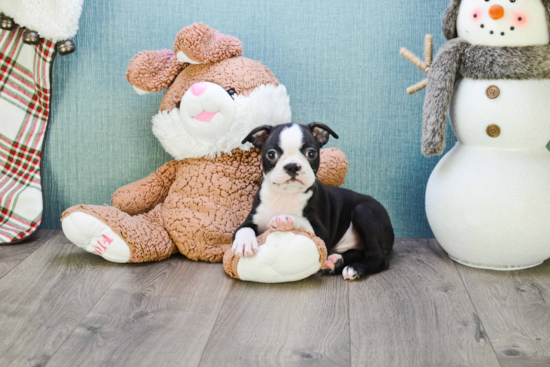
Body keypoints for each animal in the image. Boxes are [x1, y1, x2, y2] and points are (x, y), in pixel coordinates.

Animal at [233, 122, 396, 280]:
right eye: (271, 154)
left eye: (311, 153)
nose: (292, 166)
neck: (286, 195)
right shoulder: (250, 219)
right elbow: (243, 229)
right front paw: (244, 243)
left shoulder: (321, 233)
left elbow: (302, 220)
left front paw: (285, 218)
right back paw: (336, 263)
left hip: (363, 211)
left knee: (378, 257)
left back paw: (355, 268)